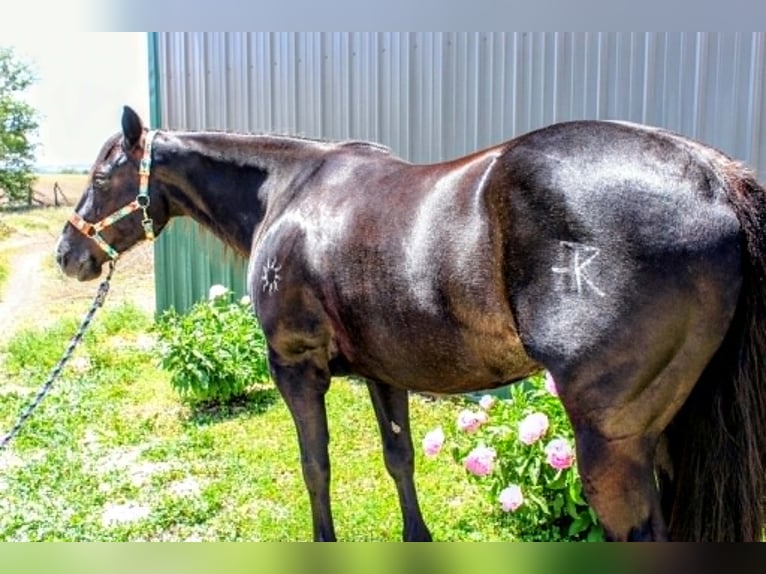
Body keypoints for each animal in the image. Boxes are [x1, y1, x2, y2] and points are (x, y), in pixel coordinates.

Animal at [55, 105, 766, 542]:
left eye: (102, 174)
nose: (68, 254)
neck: (289, 192)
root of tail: (713, 176)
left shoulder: (296, 368)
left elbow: (315, 464)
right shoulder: (383, 371)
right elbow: (399, 459)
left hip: (611, 443)